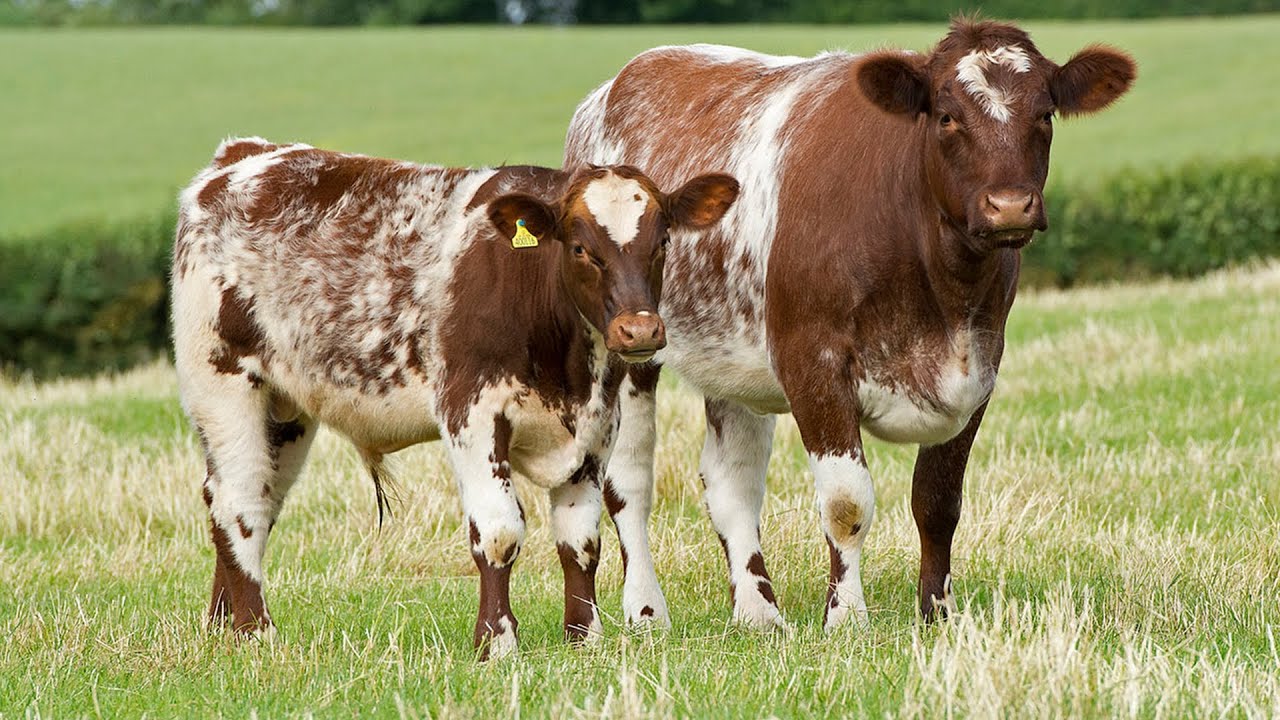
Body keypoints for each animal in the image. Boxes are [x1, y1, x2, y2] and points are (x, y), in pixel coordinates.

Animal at [171, 137, 738, 658]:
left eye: (662, 241)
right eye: (580, 248)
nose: (639, 330)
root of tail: (244, 155)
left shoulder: (598, 428)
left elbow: (580, 542)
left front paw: (584, 638)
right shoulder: (473, 412)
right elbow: (499, 532)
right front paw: (497, 641)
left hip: (285, 413)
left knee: (248, 501)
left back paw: (220, 624)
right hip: (225, 387)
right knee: (240, 502)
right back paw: (255, 632)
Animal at [563, 19, 1136, 631]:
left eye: (1045, 114)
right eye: (946, 115)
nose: (1009, 206)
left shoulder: (980, 369)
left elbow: (938, 501)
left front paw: (936, 613)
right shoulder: (811, 363)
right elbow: (846, 501)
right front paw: (845, 617)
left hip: (734, 358)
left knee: (731, 483)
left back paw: (759, 612)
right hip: (631, 346)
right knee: (629, 481)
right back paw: (646, 609)